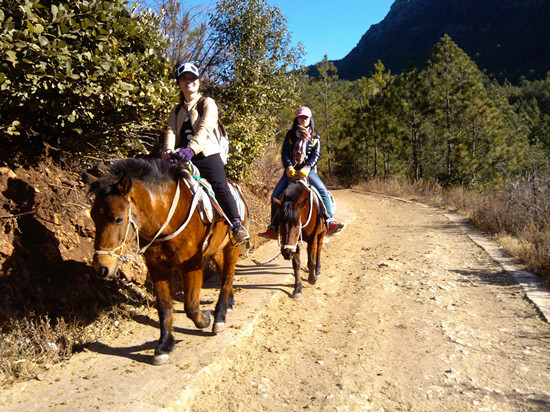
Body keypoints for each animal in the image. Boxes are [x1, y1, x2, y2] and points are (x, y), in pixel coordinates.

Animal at [87, 158, 249, 364]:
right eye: (93, 216)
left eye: (118, 219)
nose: (102, 267)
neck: (166, 217)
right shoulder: (157, 267)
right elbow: (164, 307)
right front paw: (164, 345)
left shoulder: (191, 265)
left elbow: (190, 306)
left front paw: (205, 319)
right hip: (216, 248)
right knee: (224, 273)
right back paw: (229, 302)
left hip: (232, 247)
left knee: (228, 275)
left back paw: (219, 316)